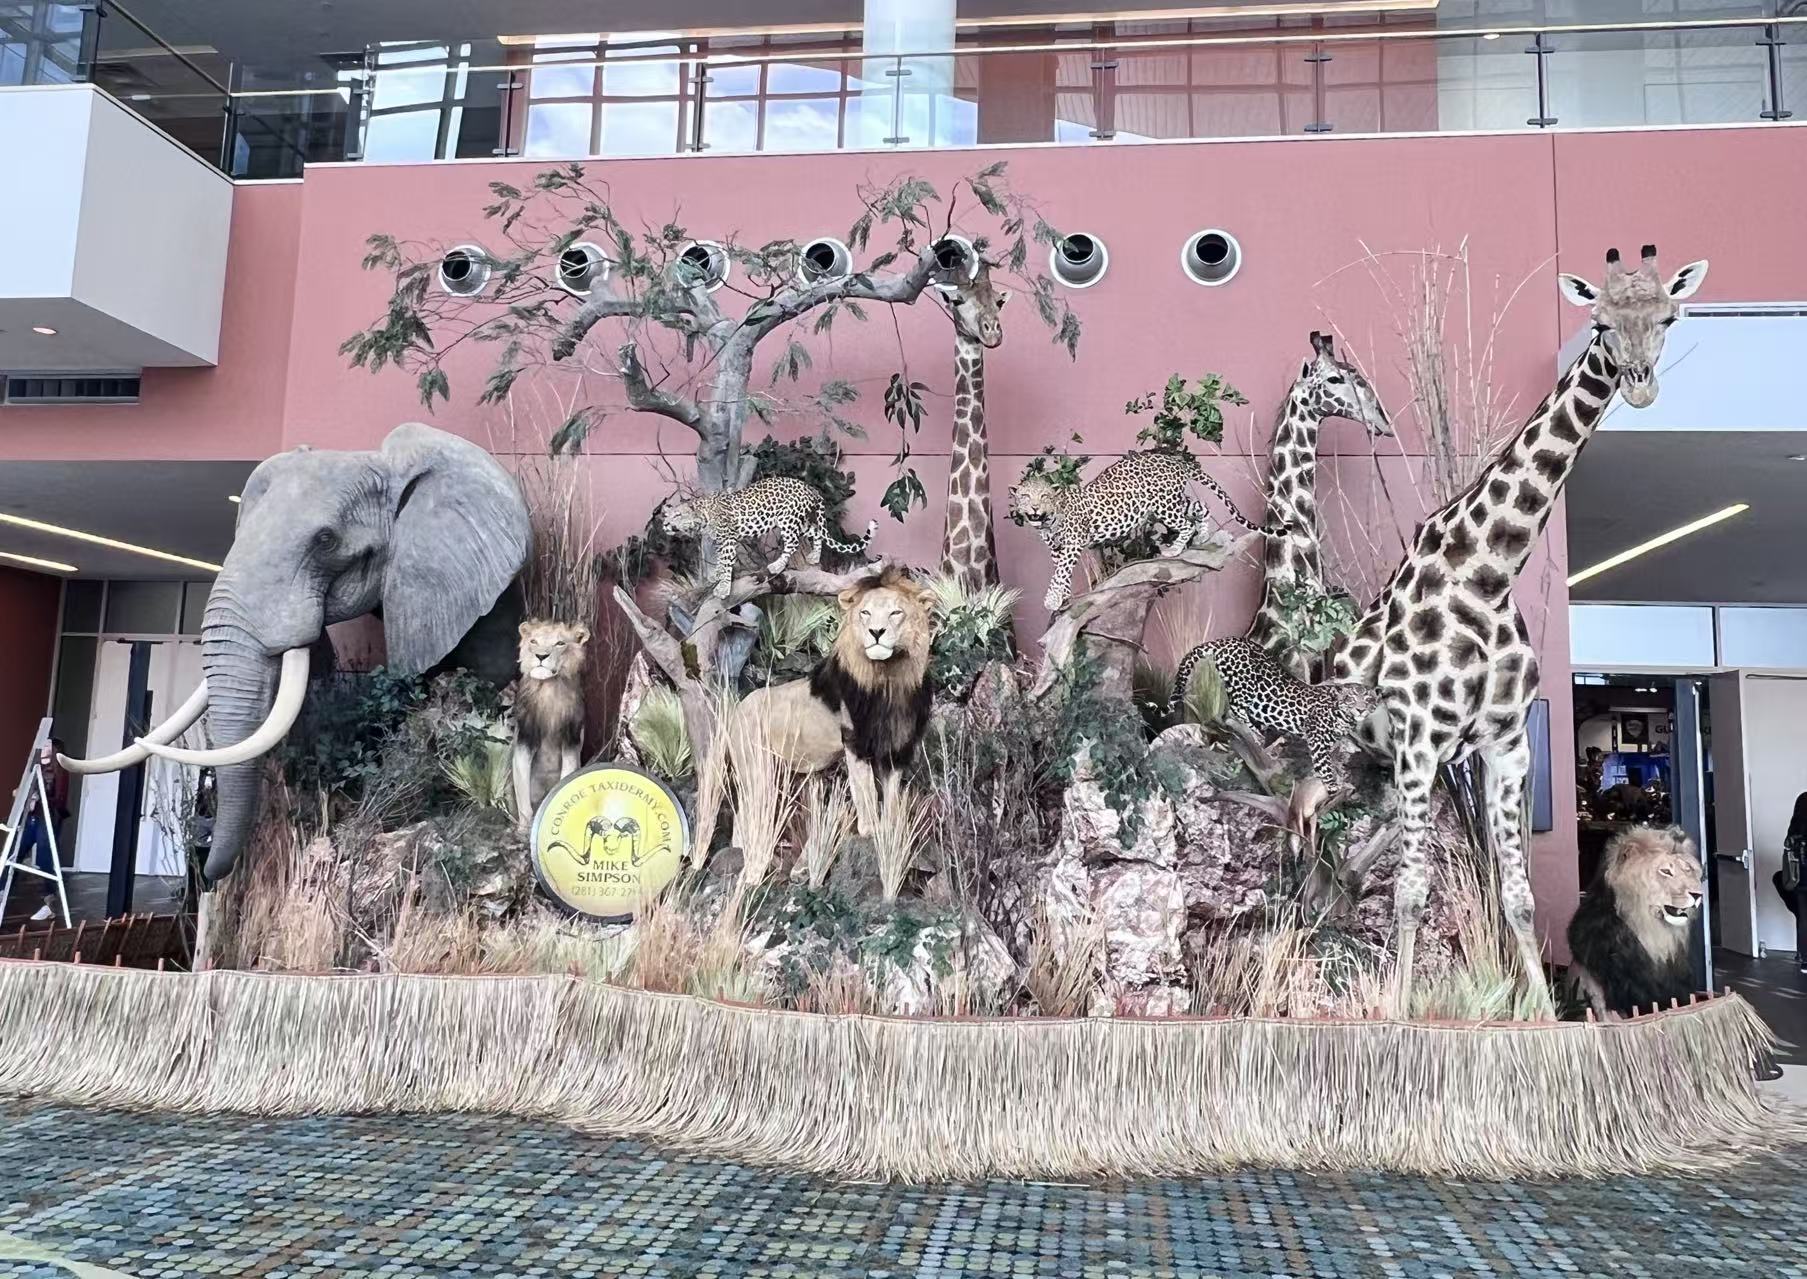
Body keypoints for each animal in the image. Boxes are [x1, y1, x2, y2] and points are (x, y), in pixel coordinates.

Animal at [511, 619, 590, 833]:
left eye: (560, 643)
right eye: (533, 641)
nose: (541, 656)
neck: (548, 688)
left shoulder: (571, 740)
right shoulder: (524, 737)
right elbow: (522, 789)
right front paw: (523, 828)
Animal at [720, 566, 935, 835]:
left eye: (896, 612)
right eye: (865, 613)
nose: (876, 632)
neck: (889, 680)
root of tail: (739, 707)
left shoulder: (896, 746)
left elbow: (892, 796)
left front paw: (891, 831)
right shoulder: (855, 742)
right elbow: (865, 790)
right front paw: (869, 830)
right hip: (754, 768)